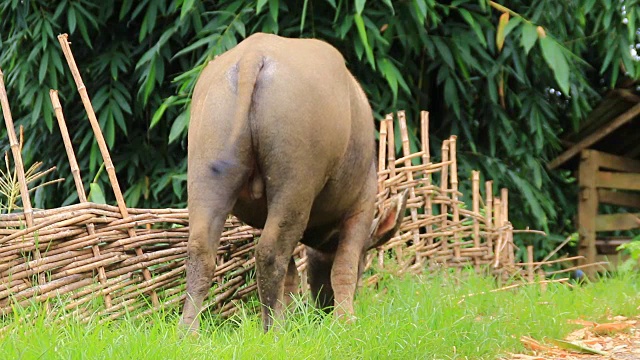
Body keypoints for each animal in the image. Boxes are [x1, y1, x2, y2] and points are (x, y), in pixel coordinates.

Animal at [180, 33, 404, 332]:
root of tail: (252, 55)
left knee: (201, 251)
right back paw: (271, 328)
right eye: (364, 263)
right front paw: (346, 320)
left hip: (206, 173)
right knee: (270, 252)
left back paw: (188, 332)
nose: (324, 308)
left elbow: (293, 276)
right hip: (295, 182)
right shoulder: (362, 205)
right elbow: (342, 267)